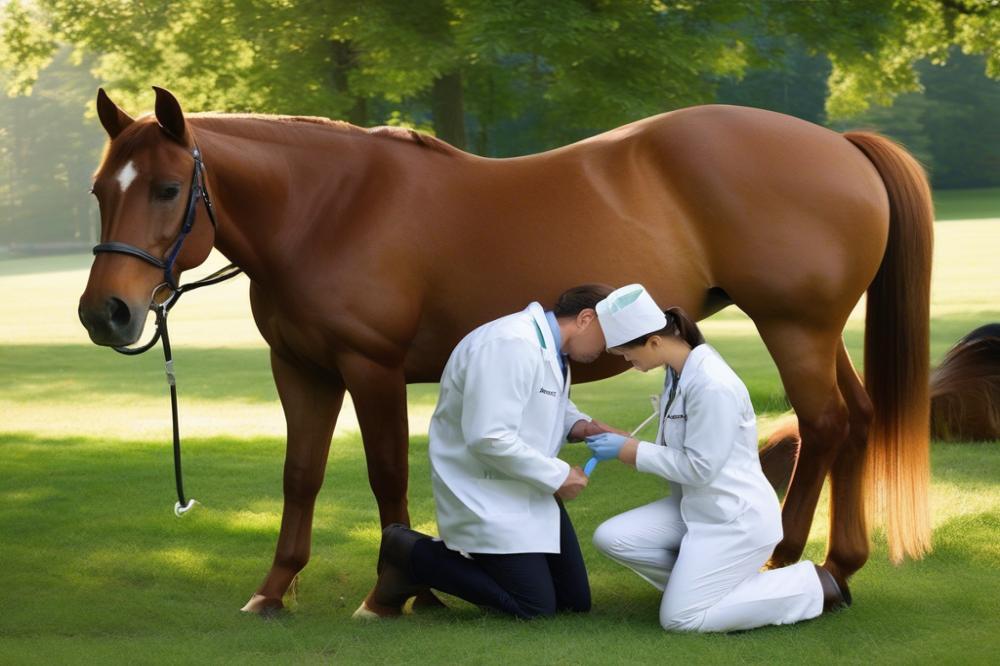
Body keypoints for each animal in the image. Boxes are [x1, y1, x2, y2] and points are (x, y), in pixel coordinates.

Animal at [79, 86, 933, 616]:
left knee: (823, 425)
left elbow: (386, 475)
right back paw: (838, 567)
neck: (328, 210)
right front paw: (273, 589)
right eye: (98, 189)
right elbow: (301, 476)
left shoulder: (370, 368)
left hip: (794, 327)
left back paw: (780, 562)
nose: (104, 313)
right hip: (818, 330)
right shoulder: (303, 370)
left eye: (165, 189)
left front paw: (397, 593)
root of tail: (838, 145)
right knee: (858, 420)